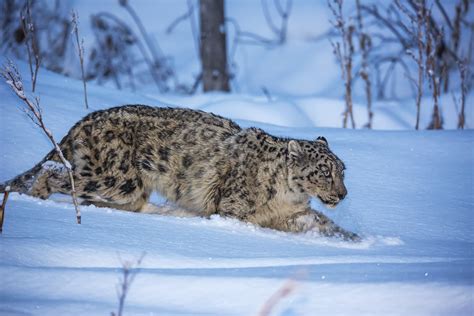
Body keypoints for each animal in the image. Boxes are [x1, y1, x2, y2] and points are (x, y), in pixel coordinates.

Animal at [0, 105, 360, 241]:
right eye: (324, 172)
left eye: (343, 171)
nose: (342, 194)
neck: (287, 197)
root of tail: (86, 119)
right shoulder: (233, 210)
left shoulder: (292, 212)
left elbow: (322, 222)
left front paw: (356, 239)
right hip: (117, 178)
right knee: (53, 173)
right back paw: (38, 196)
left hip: (126, 187)